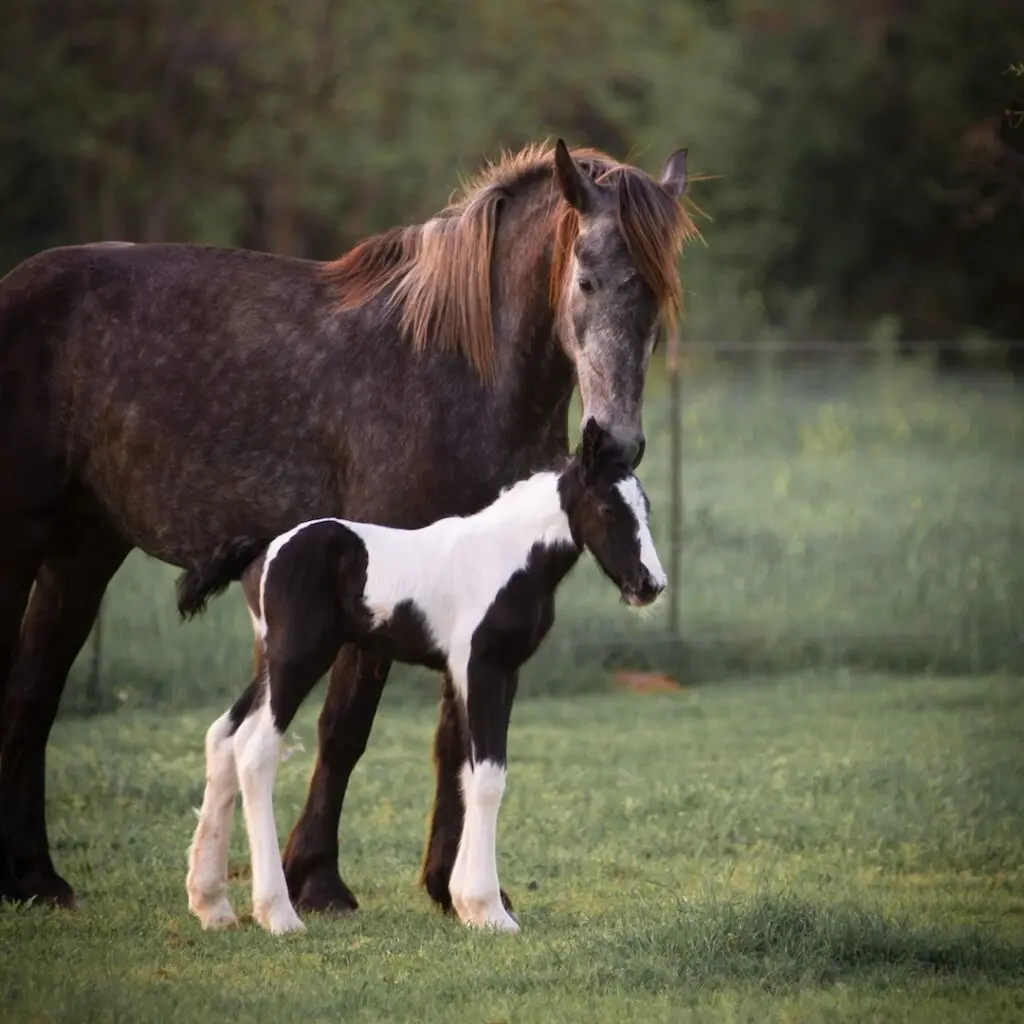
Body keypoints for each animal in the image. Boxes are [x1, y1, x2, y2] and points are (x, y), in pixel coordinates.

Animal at [175, 419, 666, 935]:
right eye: (607, 509)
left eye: (646, 508)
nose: (650, 585)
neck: (506, 555)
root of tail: (265, 548)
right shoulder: (480, 668)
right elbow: (488, 777)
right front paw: (490, 910)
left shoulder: (501, 673)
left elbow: (469, 771)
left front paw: (467, 903)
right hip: (298, 660)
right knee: (255, 752)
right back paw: (278, 914)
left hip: (269, 662)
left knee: (223, 737)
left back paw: (211, 905)